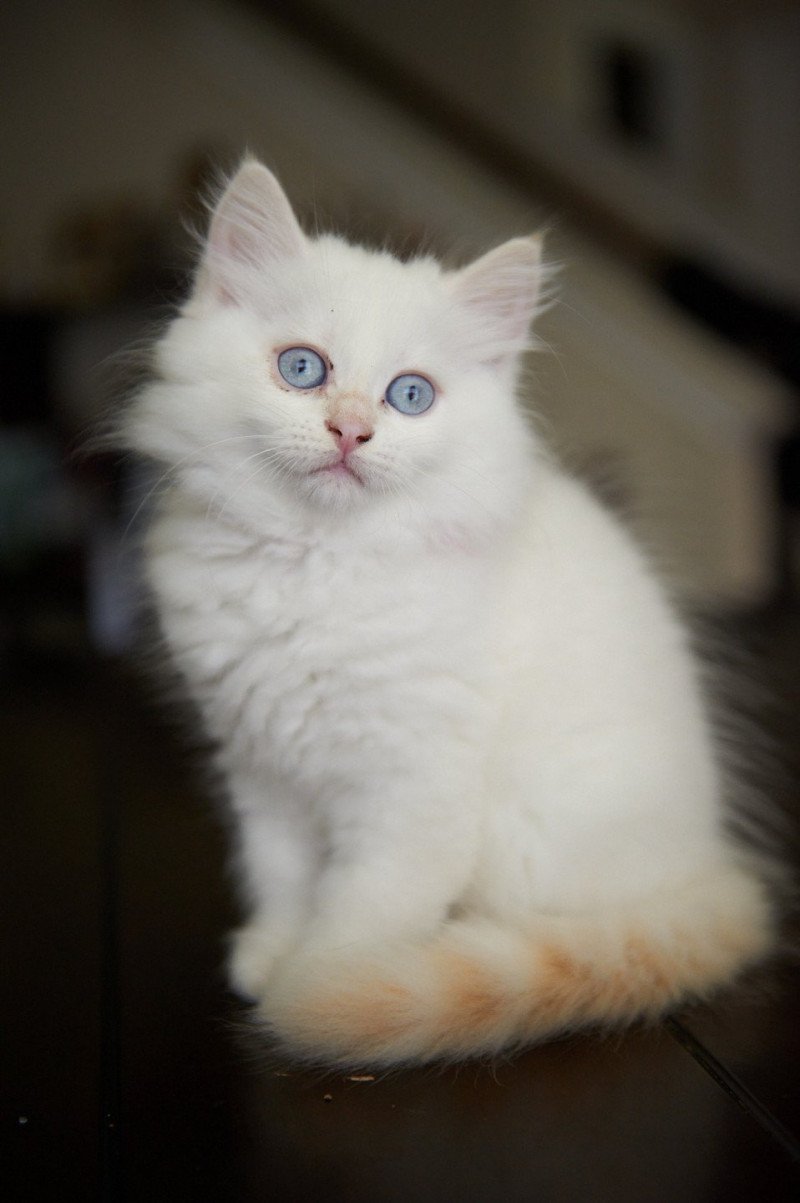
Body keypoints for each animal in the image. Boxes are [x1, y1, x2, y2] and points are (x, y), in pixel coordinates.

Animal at [123, 162, 774, 1073]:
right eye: (302, 368)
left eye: (410, 395)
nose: (351, 429)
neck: (316, 564)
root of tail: (713, 874)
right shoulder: (263, 771)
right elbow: (283, 876)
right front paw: (271, 952)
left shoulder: (415, 792)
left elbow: (362, 910)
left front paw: (322, 986)